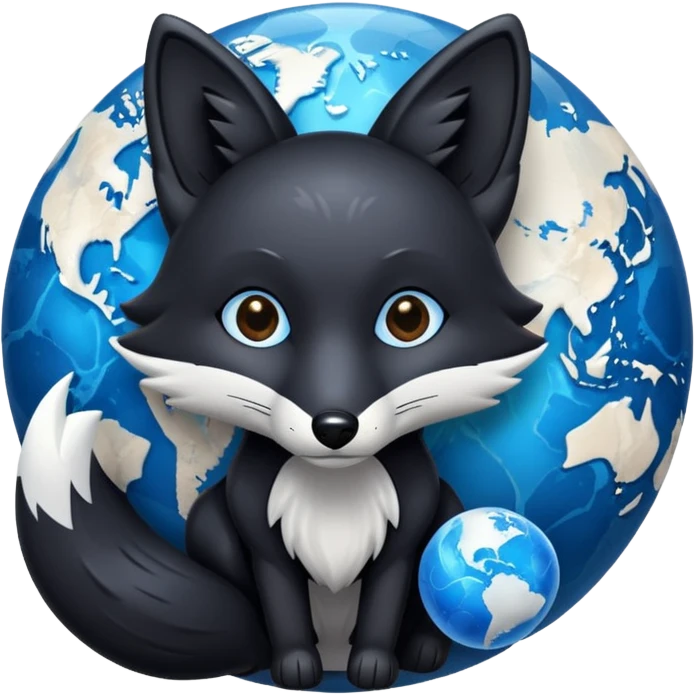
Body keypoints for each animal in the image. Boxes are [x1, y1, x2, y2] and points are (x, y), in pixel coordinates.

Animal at [14, 11, 546, 692]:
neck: (333, 490)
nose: (335, 426)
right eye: (256, 317)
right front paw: (293, 667)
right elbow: (282, 604)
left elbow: (385, 601)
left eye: (408, 318)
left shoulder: (406, 535)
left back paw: (424, 649)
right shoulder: (258, 535)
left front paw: (376, 667)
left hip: (447, 506)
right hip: (209, 522)